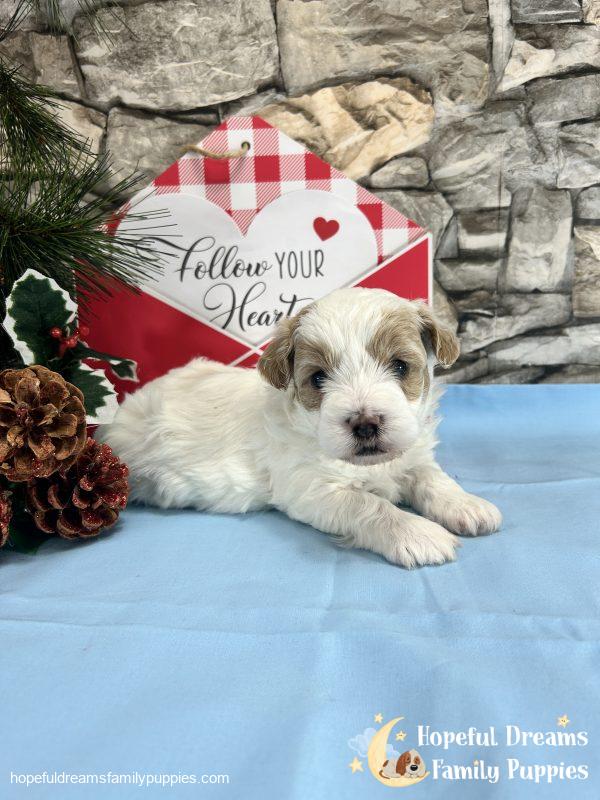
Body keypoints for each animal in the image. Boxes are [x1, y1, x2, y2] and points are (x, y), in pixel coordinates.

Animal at [102, 288, 502, 568]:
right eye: (318, 378)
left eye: (401, 366)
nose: (365, 424)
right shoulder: (311, 489)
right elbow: (369, 504)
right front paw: (417, 533)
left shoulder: (412, 455)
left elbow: (433, 478)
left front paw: (467, 504)